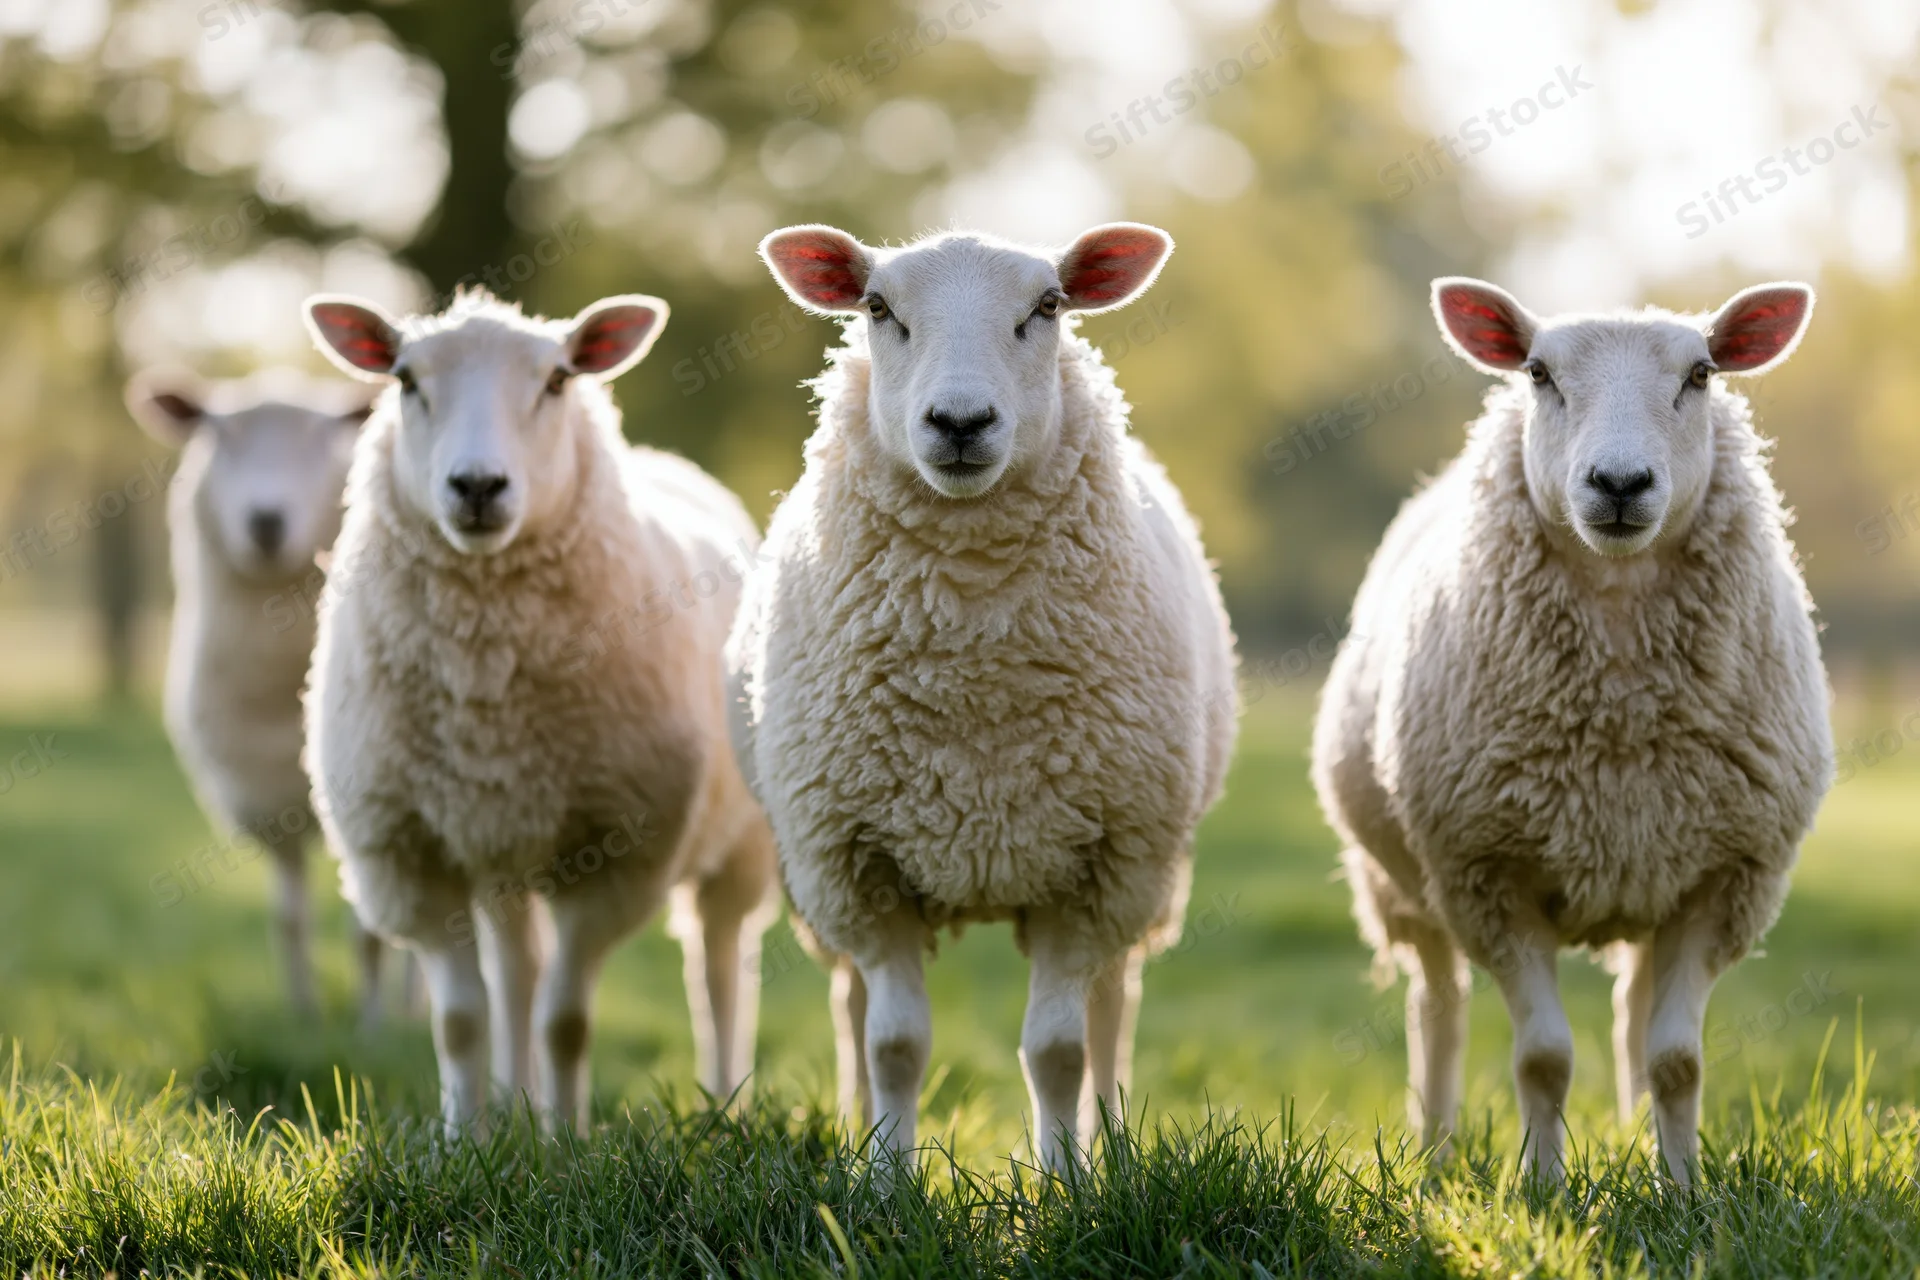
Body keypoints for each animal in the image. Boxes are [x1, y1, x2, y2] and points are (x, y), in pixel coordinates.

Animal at [126, 368, 410, 1022]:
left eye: (322, 436)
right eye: (218, 433)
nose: (266, 521)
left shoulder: (365, 807)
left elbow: (369, 933)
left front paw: (374, 1027)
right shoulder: (266, 802)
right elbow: (289, 920)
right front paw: (304, 1018)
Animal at [301, 287, 776, 1129]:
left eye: (557, 380)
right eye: (406, 380)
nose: (477, 487)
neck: (487, 681)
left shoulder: (612, 853)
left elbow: (567, 1019)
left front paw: (564, 1139)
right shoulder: (412, 856)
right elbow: (463, 1019)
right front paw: (467, 1139)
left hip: (737, 843)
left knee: (718, 964)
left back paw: (723, 1105)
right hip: (499, 838)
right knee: (517, 969)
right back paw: (509, 1107)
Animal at [730, 223, 1238, 1171]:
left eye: (1048, 306)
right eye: (878, 308)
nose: (961, 422)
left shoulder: (1093, 866)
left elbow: (1058, 1050)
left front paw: (1067, 1184)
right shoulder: (857, 864)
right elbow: (894, 1043)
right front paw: (884, 1184)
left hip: (1140, 873)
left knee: (1112, 1006)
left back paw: (1112, 1147)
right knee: (851, 1008)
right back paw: (855, 1128)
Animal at [1311, 277, 1831, 1185]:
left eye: (1701, 373)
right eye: (1538, 373)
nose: (1619, 481)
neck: (1617, 717)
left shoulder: (1722, 880)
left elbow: (1677, 1061)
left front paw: (1683, 1191)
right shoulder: (1487, 874)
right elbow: (1544, 1057)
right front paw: (1545, 1189)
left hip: (1650, 868)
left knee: (1630, 1011)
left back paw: (1632, 1135)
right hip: (1403, 885)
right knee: (1437, 1007)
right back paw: (1435, 1151)